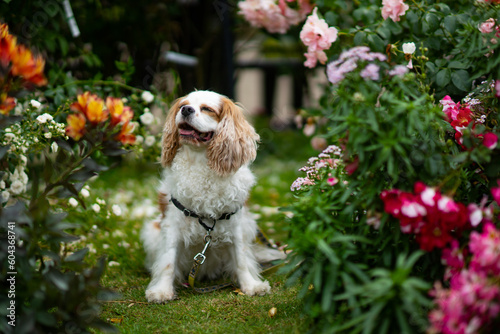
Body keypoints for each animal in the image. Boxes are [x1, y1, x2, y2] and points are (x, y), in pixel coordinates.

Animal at [141, 89, 286, 302]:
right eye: (182, 105)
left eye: (207, 109)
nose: (186, 110)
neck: (201, 160)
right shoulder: (172, 225)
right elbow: (168, 260)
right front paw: (162, 290)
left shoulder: (237, 225)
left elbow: (241, 259)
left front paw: (250, 285)